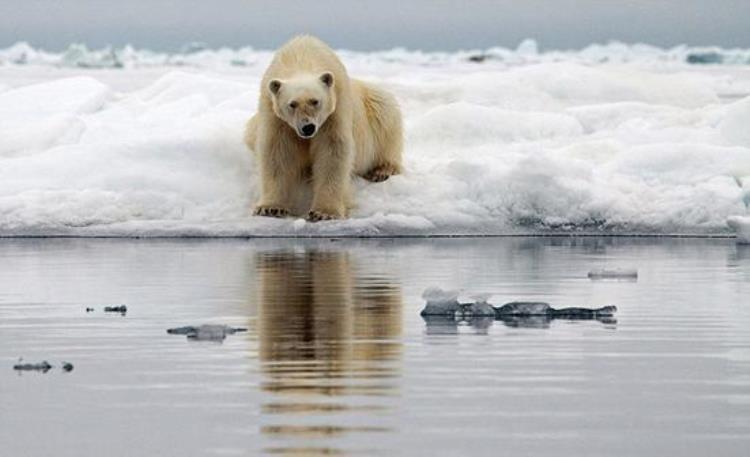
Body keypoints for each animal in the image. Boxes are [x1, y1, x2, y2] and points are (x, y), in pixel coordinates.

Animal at [244, 35, 402, 221]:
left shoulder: (334, 111)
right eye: (292, 104)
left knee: (385, 116)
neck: (302, 58)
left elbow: (332, 153)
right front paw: (270, 208)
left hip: (374, 106)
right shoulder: (275, 115)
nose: (308, 127)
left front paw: (323, 212)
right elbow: (278, 152)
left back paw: (381, 170)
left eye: (315, 101)